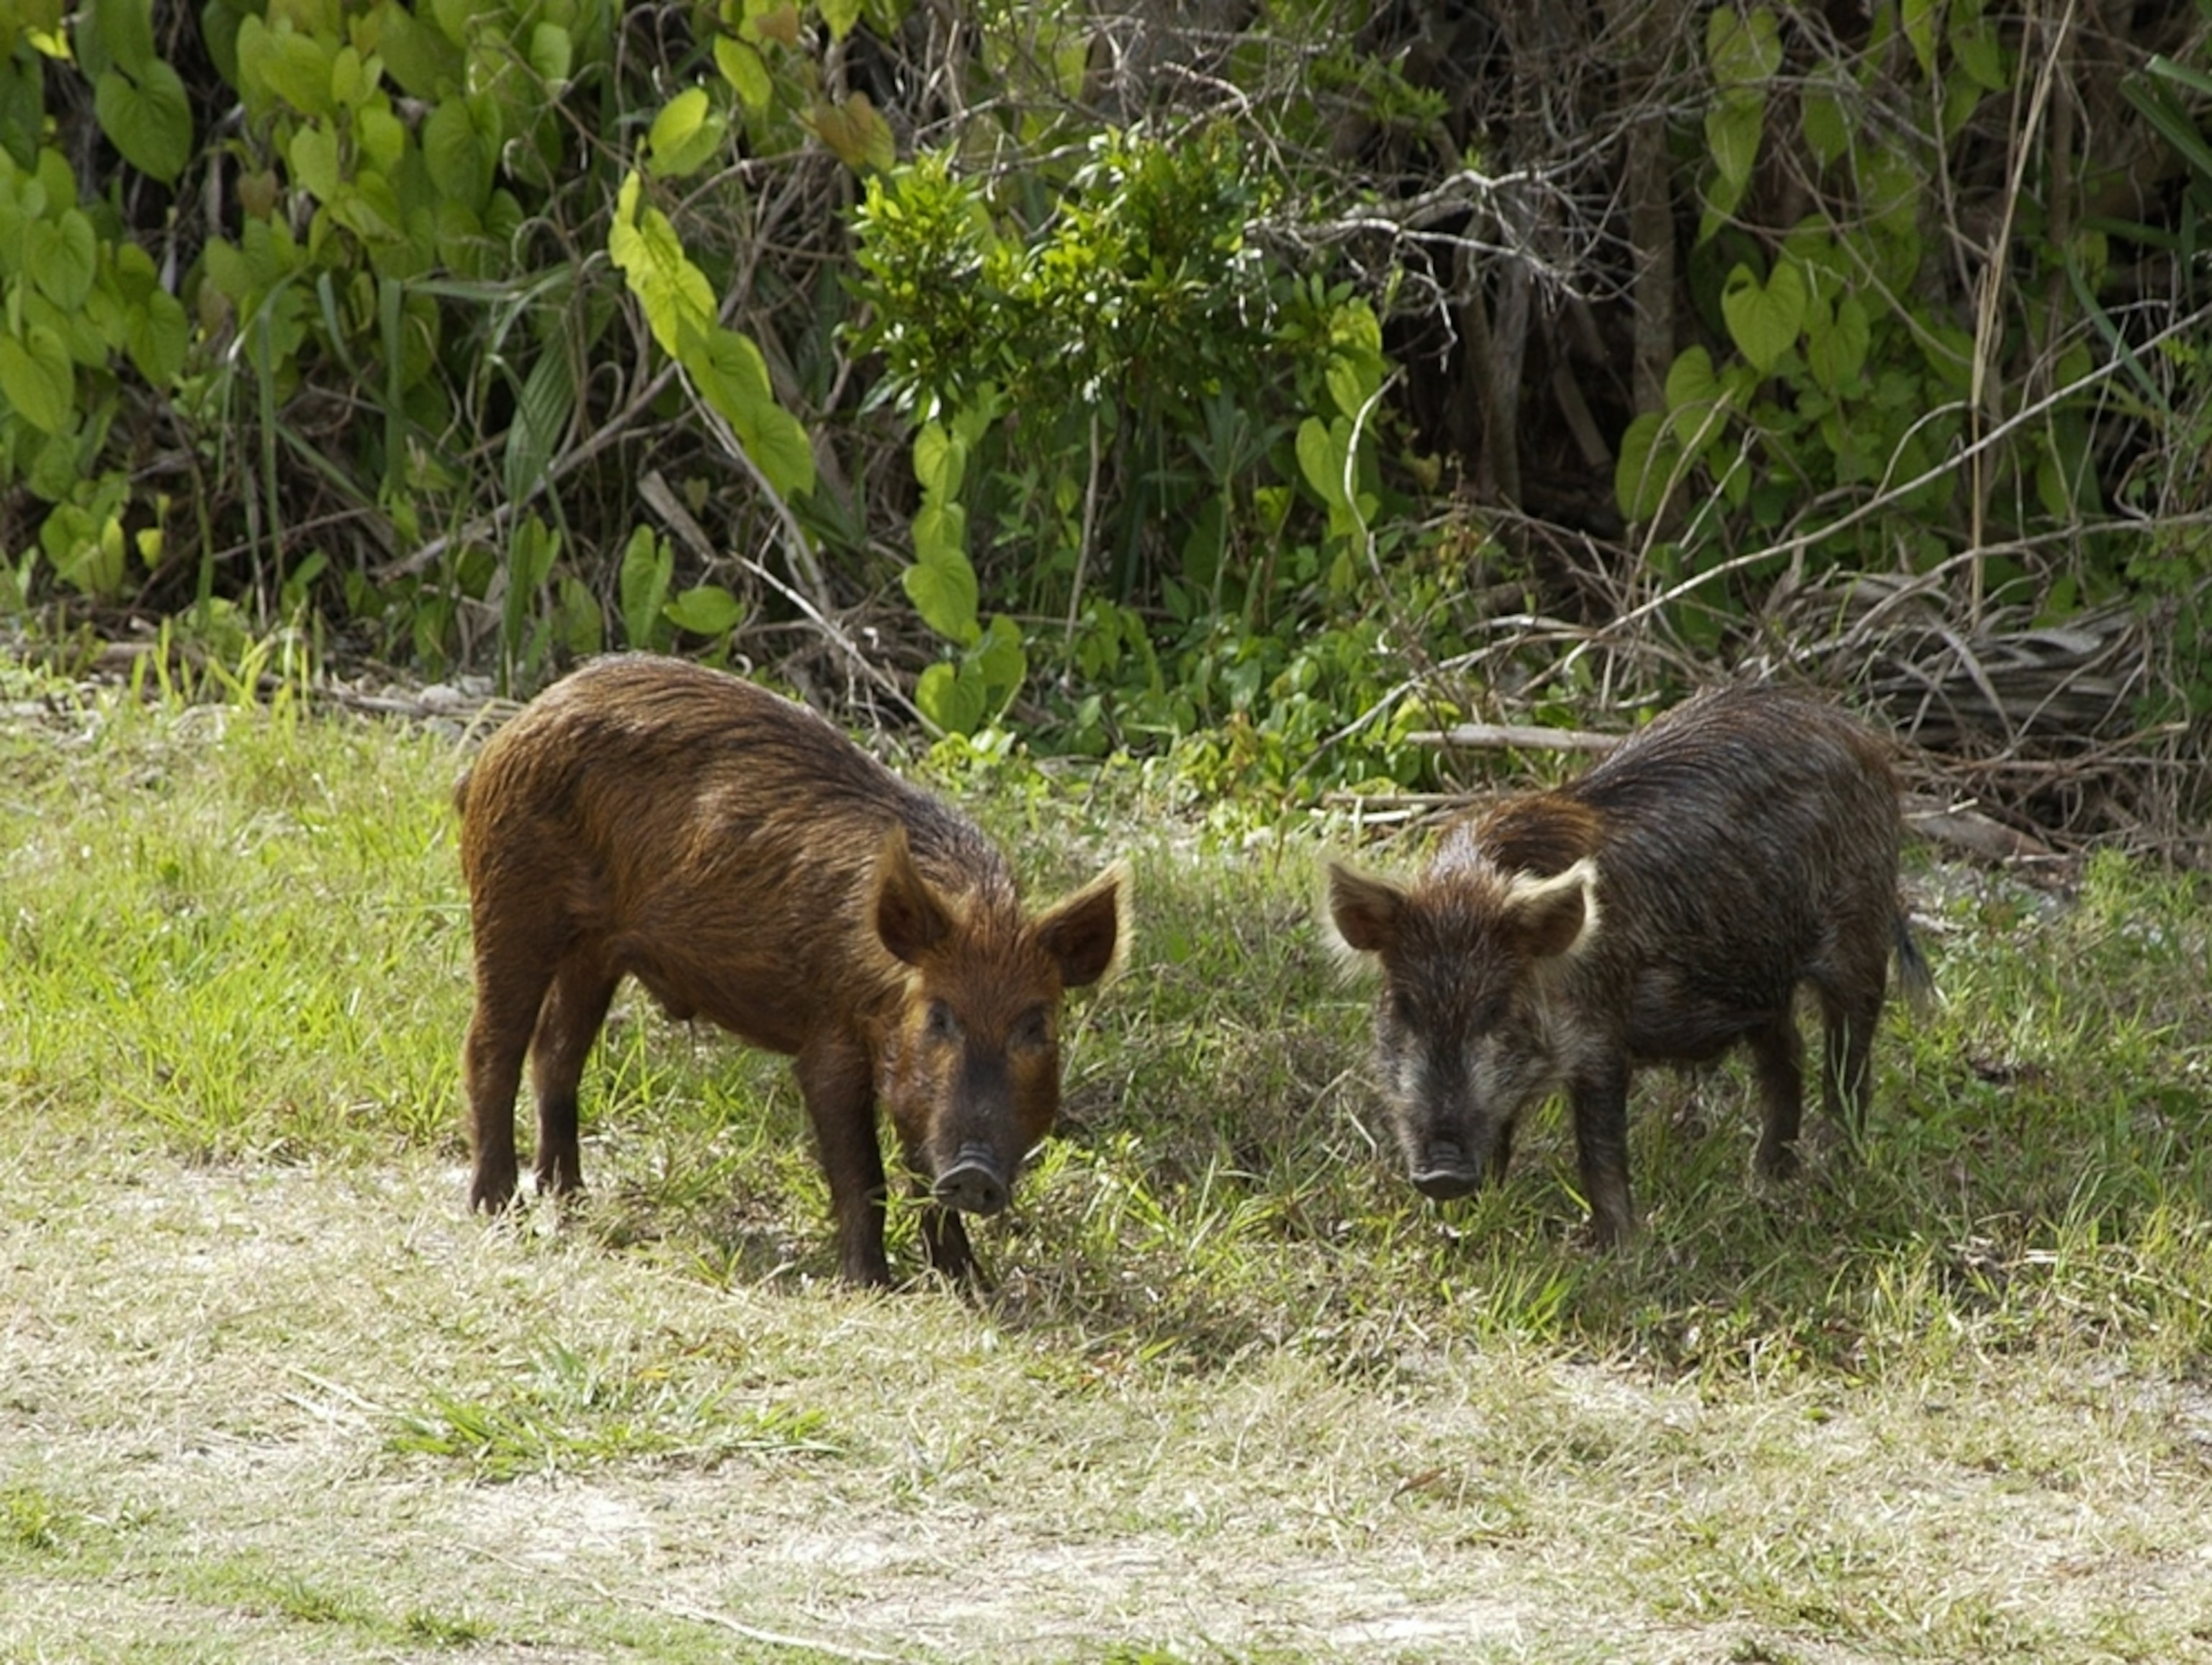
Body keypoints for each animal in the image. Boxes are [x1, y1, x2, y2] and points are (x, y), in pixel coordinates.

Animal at [454, 654, 1126, 1285]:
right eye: (939, 1016)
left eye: (1036, 1026)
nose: (975, 1172)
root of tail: (511, 729)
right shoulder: (829, 1040)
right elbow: (863, 1173)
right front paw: (871, 1286)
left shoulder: (912, 1083)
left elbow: (921, 1173)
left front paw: (971, 1286)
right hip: (512, 898)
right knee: (492, 1045)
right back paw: (499, 1207)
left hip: (596, 949)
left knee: (557, 1052)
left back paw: (570, 1197)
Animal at [1325, 684, 1932, 1246]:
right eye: (1405, 1007)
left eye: (1497, 1009)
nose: (1443, 1175)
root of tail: (1861, 737)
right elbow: (1501, 1133)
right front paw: (1469, 1223)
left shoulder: (1601, 1039)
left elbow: (1599, 1148)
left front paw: (1614, 1247)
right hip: (1761, 982)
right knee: (1787, 1057)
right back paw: (1768, 1178)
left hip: (1858, 939)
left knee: (1848, 1069)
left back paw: (1835, 1174)